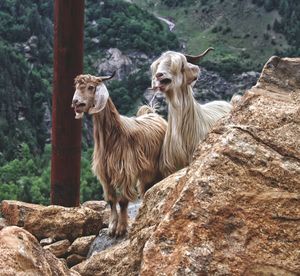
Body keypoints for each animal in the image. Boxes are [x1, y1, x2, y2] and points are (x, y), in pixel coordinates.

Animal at [72, 72, 168, 236]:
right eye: (77, 87)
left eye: (91, 87)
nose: (76, 102)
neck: (114, 135)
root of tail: (154, 114)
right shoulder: (105, 174)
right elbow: (111, 200)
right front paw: (111, 227)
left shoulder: (125, 171)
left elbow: (123, 201)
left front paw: (121, 229)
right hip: (147, 172)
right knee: (146, 189)